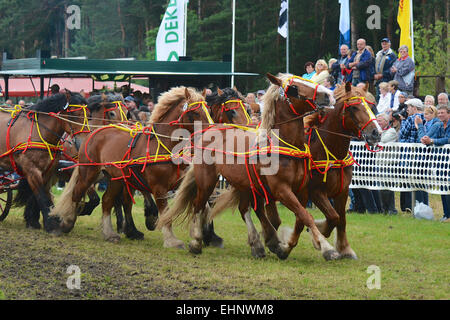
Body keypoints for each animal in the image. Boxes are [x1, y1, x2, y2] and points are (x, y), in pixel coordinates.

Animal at [0, 91, 90, 231]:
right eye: (74, 115)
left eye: (88, 116)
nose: (83, 143)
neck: (40, 133)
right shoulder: (31, 170)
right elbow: (42, 196)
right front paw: (50, 224)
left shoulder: (47, 171)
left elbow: (38, 196)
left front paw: (33, 221)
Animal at [49, 86, 253, 244]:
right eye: (232, 111)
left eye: (248, 110)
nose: (248, 131)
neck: (165, 144)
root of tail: (95, 132)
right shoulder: (158, 185)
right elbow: (164, 208)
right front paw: (171, 238)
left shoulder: (184, 181)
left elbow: (204, 204)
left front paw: (208, 235)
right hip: (90, 172)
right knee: (80, 193)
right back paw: (68, 222)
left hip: (116, 178)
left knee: (108, 200)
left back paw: (112, 232)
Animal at [209, 81, 382, 258]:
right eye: (353, 107)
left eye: (371, 105)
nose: (376, 133)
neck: (327, 149)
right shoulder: (315, 191)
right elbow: (330, 217)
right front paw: (318, 235)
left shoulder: (342, 191)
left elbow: (340, 219)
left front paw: (344, 248)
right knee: (250, 210)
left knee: (262, 214)